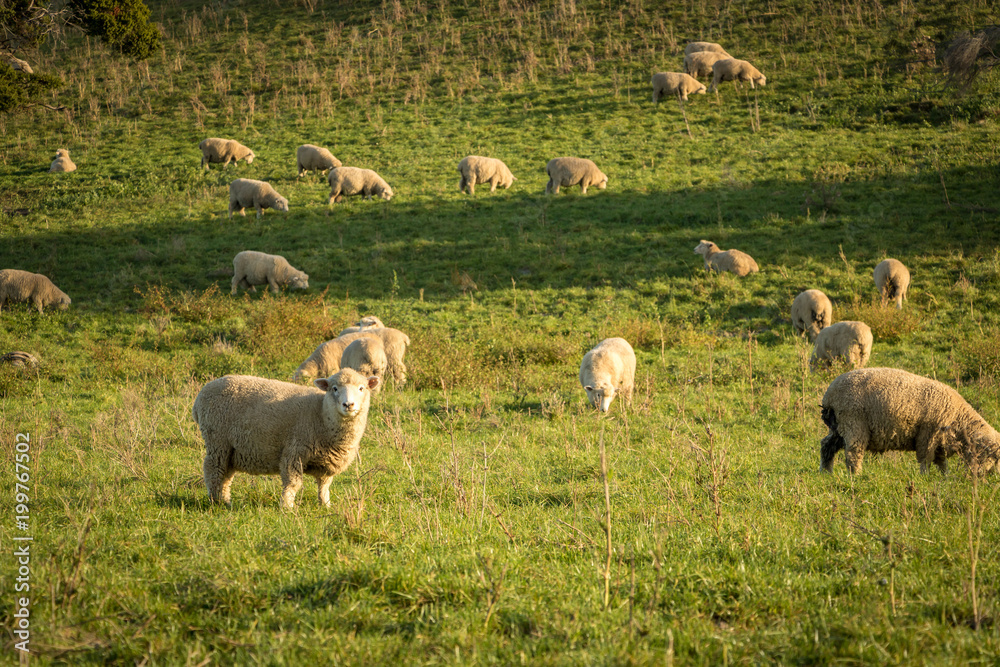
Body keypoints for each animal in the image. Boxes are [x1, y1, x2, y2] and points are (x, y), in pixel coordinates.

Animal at [193, 368, 380, 509]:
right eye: (334, 388)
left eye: (362, 388)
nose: (348, 405)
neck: (321, 414)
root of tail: (201, 394)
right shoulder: (294, 451)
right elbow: (293, 483)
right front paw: (287, 507)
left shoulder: (326, 461)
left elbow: (324, 486)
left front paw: (325, 505)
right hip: (217, 440)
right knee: (213, 470)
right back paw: (216, 502)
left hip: (231, 449)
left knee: (225, 475)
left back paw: (225, 500)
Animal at [820, 367, 1000, 475]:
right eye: (990, 456)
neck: (959, 418)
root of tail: (829, 395)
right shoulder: (927, 436)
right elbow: (926, 460)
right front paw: (925, 478)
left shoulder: (939, 442)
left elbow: (942, 463)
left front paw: (945, 479)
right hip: (853, 423)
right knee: (853, 453)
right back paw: (855, 475)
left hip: (838, 426)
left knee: (826, 445)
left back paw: (826, 472)